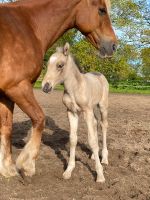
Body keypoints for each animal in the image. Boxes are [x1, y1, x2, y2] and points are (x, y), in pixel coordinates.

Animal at [42, 43, 109, 183]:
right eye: (48, 64)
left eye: (60, 65)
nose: (45, 87)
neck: (75, 88)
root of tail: (99, 74)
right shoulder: (71, 112)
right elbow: (73, 139)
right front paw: (68, 170)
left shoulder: (87, 111)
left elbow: (92, 140)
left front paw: (100, 175)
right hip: (93, 108)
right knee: (96, 123)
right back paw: (94, 156)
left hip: (102, 106)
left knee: (103, 125)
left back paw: (104, 158)